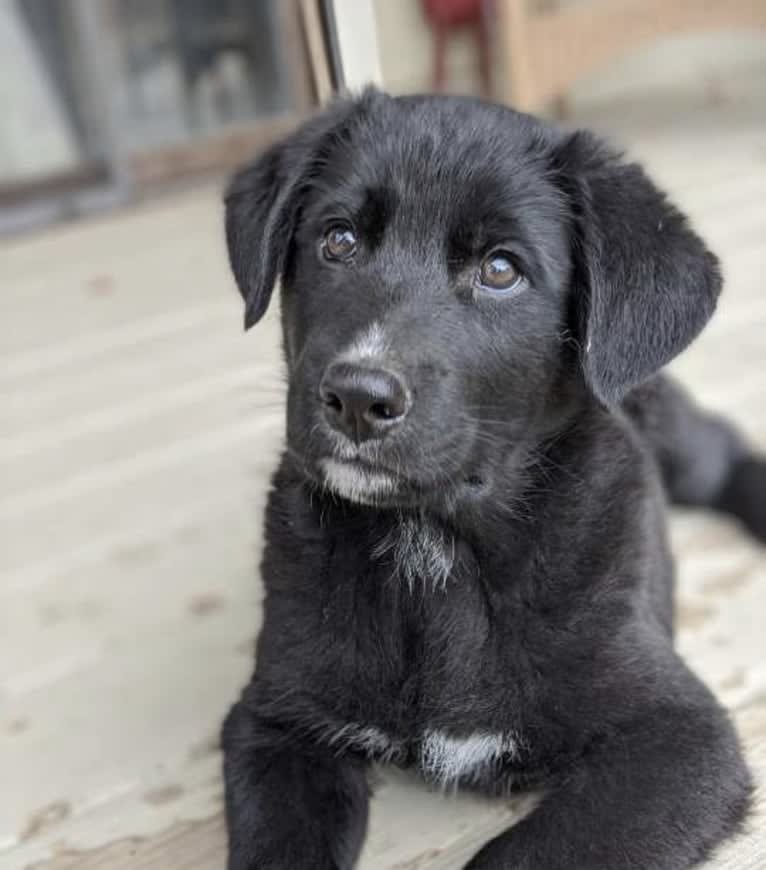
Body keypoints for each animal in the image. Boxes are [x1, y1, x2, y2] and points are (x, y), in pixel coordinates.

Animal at [219, 92, 764, 868]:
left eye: (500, 270)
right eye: (338, 240)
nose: (356, 396)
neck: (433, 546)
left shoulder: (682, 741)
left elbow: (517, 855)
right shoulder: (274, 721)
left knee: (720, 453)